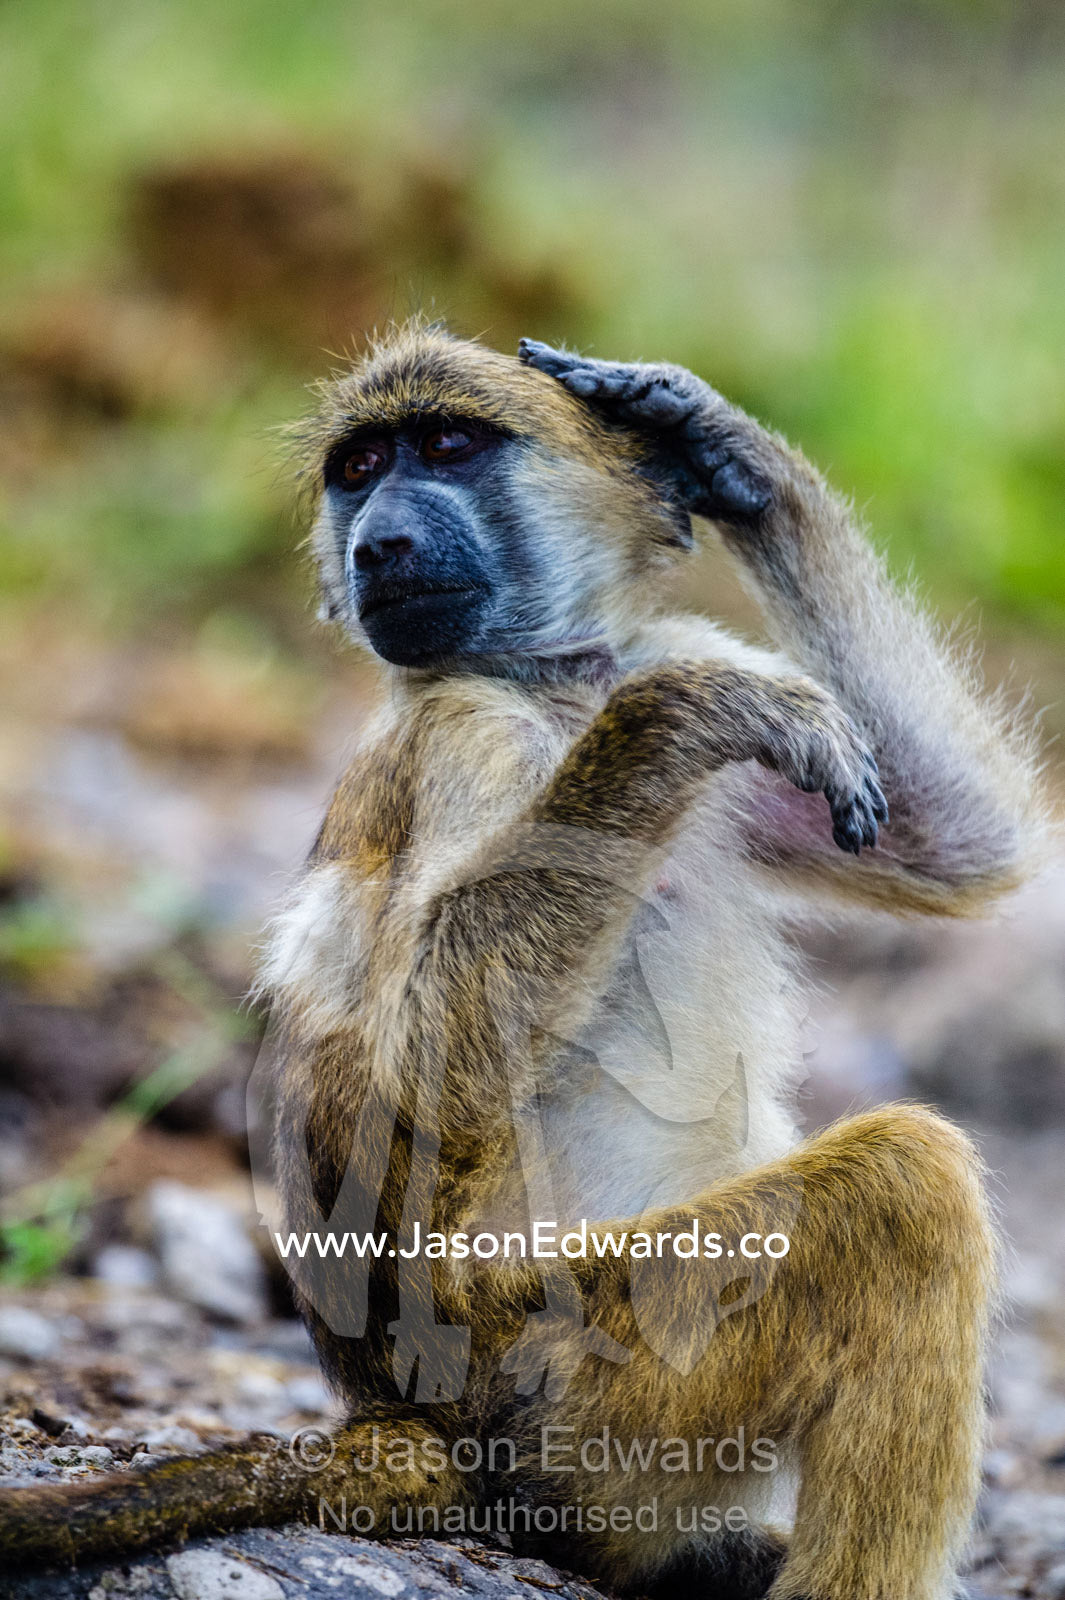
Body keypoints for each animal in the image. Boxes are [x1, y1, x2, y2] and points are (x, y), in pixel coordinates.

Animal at [0, 319, 1049, 1599]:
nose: (381, 540)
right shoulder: (466, 738)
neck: (548, 684)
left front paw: (708, 436)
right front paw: (696, 702)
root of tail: (423, 1426)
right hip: (577, 1377)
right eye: (362, 466)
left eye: (448, 445)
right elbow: (426, 1079)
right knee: (907, 1185)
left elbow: (962, 846)